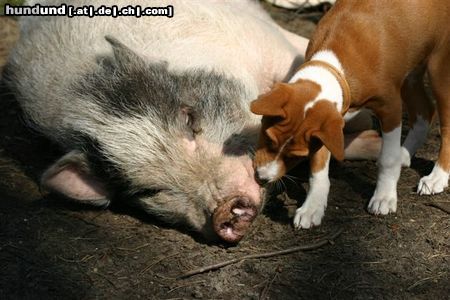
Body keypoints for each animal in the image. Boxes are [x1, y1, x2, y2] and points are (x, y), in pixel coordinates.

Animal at [251, 0, 448, 229]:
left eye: (295, 157)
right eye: (268, 138)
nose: (262, 178)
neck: (337, 65)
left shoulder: (390, 107)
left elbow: (387, 158)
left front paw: (384, 196)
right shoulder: (328, 128)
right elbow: (318, 171)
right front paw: (313, 207)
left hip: (439, 70)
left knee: (445, 126)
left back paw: (437, 176)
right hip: (410, 71)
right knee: (425, 110)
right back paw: (405, 155)